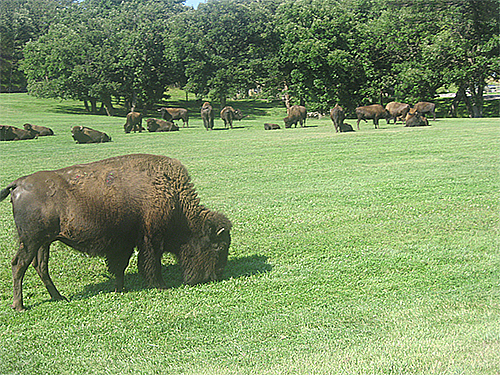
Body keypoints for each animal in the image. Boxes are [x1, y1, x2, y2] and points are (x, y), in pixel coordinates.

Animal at [0, 154, 232, 312]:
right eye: (219, 246)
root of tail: (19, 184)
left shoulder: (126, 243)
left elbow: (121, 266)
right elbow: (151, 264)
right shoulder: (150, 239)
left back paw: (59, 297)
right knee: (19, 265)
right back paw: (19, 305)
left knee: (40, 267)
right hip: (31, 241)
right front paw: (161, 286)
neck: (170, 193)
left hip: (44, 242)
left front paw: (119, 289)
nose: (216, 275)